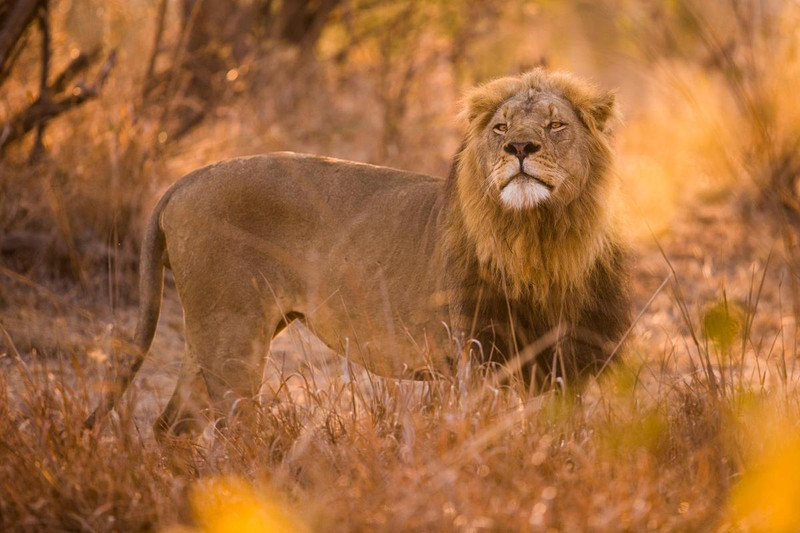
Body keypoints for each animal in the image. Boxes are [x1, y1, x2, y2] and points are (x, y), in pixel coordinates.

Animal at [86, 69, 631, 438]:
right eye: (500, 127)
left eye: (557, 125)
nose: (519, 146)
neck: (541, 239)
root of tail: (184, 180)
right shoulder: (478, 357)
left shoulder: (568, 365)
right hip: (231, 337)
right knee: (231, 430)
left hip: (211, 337)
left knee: (171, 424)